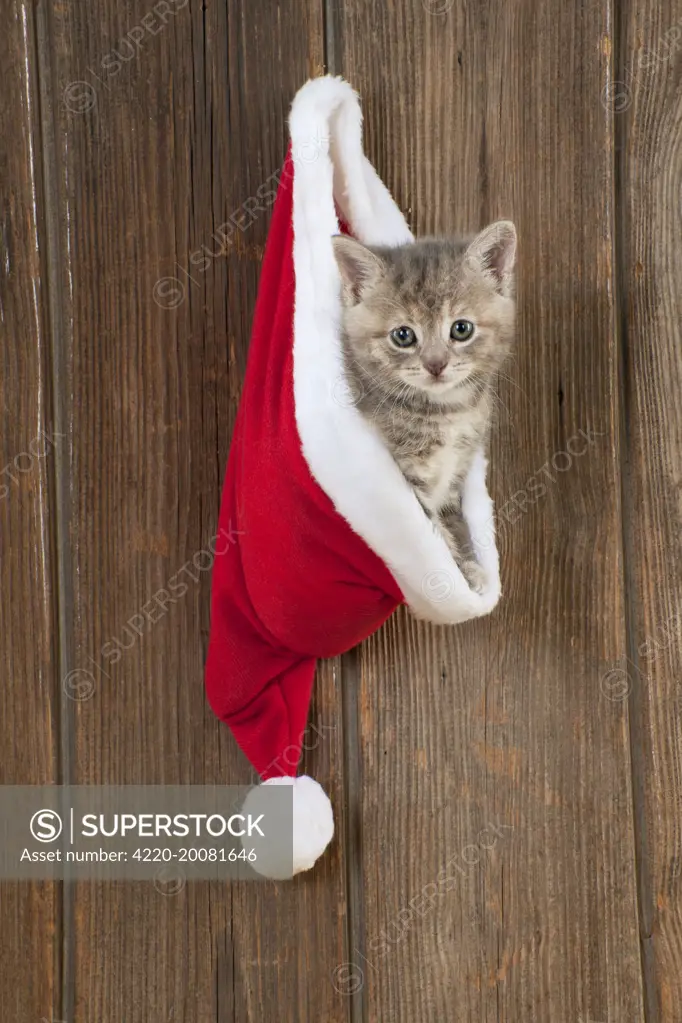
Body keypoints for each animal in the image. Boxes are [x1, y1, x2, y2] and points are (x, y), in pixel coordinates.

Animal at [331, 224, 517, 593]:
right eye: (403, 335)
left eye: (461, 329)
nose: (435, 364)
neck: (447, 411)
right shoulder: (406, 480)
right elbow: (436, 534)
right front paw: (462, 573)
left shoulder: (457, 472)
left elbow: (452, 520)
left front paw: (471, 567)